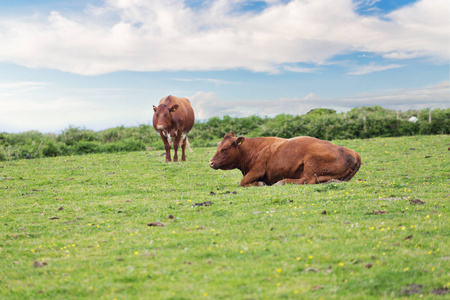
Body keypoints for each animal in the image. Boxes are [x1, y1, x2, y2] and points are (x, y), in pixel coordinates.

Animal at [209, 132, 360, 186]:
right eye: (218, 146)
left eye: (224, 149)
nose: (211, 162)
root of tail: (353, 153)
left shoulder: (257, 170)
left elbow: (243, 182)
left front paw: (260, 183)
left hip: (311, 163)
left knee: (306, 180)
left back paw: (282, 182)